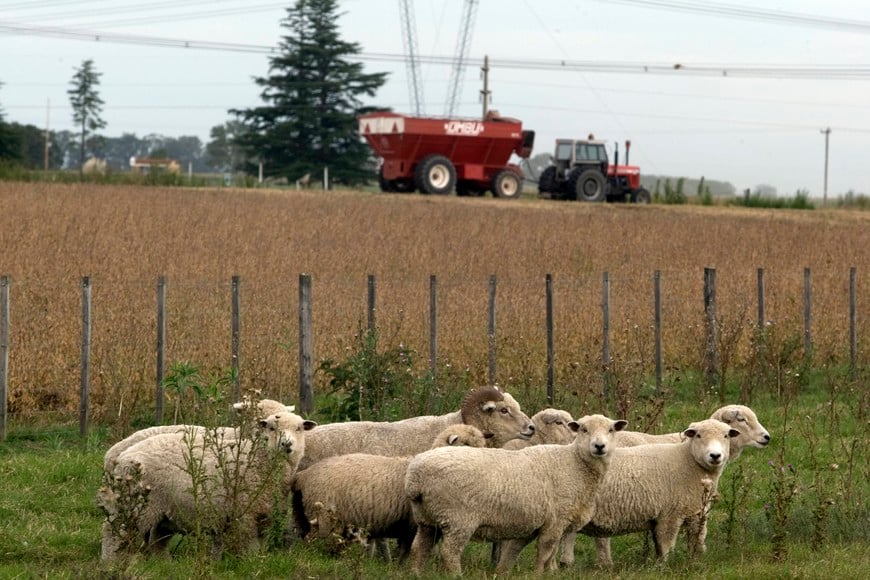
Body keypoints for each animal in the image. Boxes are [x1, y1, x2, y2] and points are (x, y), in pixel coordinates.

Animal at [98, 411, 315, 561]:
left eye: (299, 428)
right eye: (271, 428)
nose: (286, 444)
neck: (260, 460)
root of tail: (122, 456)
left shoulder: (262, 515)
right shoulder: (244, 515)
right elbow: (249, 547)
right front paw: (251, 564)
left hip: (160, 510)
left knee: (156, 540)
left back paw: (163, 564)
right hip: (135, 504)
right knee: (112, 530)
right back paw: (110, 562)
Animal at [291, 424, 491, 563]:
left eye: (482, 445)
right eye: (465, 445)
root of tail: (303, 475)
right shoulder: (411, 525)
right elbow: (406, 551)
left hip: (305, 515)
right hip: (324, 519)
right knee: (313, 545)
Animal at [405, 414, 627, 575]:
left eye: (610, 430)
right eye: (583, 429)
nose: (599, 446)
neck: (575, 464)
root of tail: (415, 476)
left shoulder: (534, 524)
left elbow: (515, 551)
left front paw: (504, 572)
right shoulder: (555, 521)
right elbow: (546, 551)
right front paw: (540, 574)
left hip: (427, 518)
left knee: (418, 548)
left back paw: (416, 573)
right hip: (458, 519)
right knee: (449, 552)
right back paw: (456, 575)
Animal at [559, 404, 771, 567]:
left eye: (727, 435)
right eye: (742, 419)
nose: (767, 437)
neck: (687, 458)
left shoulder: (692, 509)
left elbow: (692, 539)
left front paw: (695, 560)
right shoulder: (672, 512)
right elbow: (672, 543)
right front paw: (665, 566)